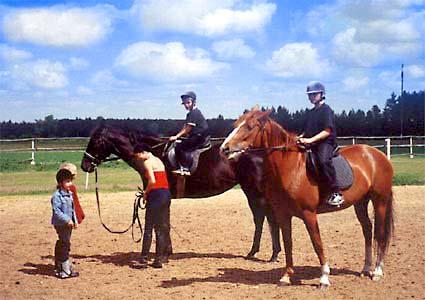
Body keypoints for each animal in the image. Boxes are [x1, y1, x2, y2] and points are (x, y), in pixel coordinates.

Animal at [80, 123, 282, 260]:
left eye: (96, 141)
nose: (84, 165)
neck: (153, 155)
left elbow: (161, 224)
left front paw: (163, 253)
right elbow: (165, 222)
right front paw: (168, 251)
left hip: (254, 191)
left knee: (265, 218)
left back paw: (267, 253)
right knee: (263, 218)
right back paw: (261, 252)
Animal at [219, 108, 394, 288]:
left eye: (249, 126)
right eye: (236, 124)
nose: (224, 148)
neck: (291, 168)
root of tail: (376, 154)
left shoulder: (309, 214)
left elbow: (317, 243)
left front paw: (324, 277)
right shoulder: (283, 214)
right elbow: (288, 243)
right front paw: (286, 276)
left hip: (380, 200)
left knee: (380, 233)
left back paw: (377, 271)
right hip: (360, 203)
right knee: (367, 229)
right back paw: (365, 269)